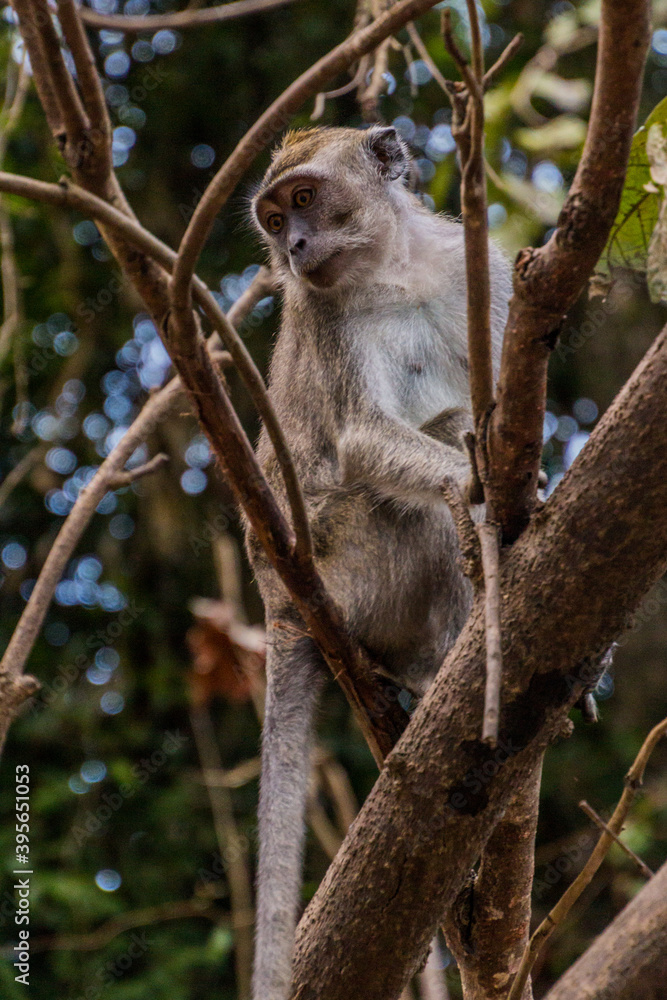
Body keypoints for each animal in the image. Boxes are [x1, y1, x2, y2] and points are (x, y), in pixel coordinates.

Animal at [245, 125, 511, 1000]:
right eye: (273, 218)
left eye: (302, 198)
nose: (292, 247)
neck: (390, 267)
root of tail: (280, 605)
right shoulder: (324, 316)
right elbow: (363, 439)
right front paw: (480, 495)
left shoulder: (475, 267)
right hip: (351, 568)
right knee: (422, 495)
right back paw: (441, 666)